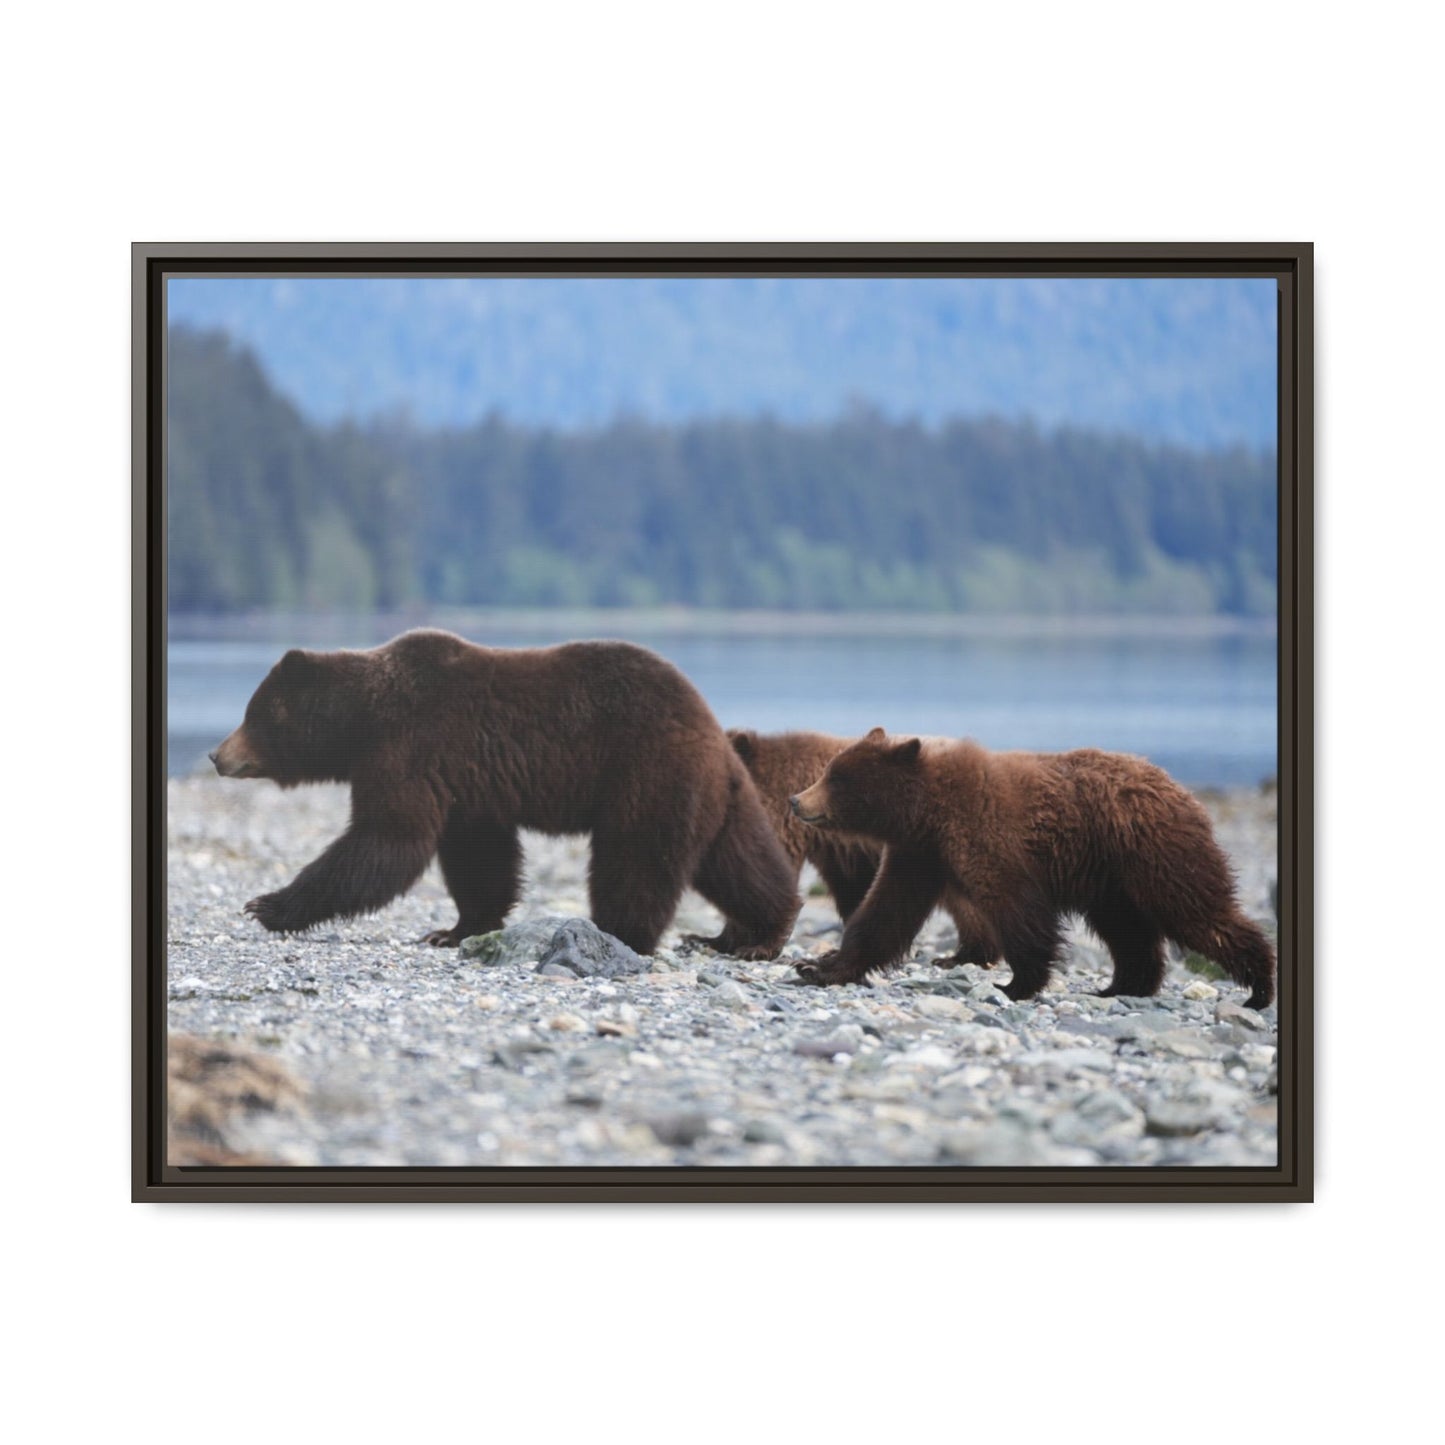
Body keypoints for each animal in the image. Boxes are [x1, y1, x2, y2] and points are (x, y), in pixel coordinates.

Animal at [210, 629, 801, 959]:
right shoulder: (468, 785)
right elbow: (478, 858)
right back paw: (759, 933)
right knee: (740, 861)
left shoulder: (411, 748)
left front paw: (267, 904)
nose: (217, 754)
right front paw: (454, 930)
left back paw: (619, 933)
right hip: (717, 794)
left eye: (251, 713)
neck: (363, 721)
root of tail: (711, 727)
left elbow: (387, 839)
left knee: (635, 861)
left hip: (647, 775)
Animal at [787, 728, 1275, 1009]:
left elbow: (1017, 910)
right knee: (1128, 930)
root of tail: (1182, 790)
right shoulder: (919, 853)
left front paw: (1014, 985)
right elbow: (885, 912)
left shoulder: (989, 837)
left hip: (1155, 853)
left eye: (836, 778)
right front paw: (818, 966)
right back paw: (1121, 986)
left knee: (1197, 912)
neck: (929, 812)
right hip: (1112, 881)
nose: (796, 800)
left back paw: (1259, 987)